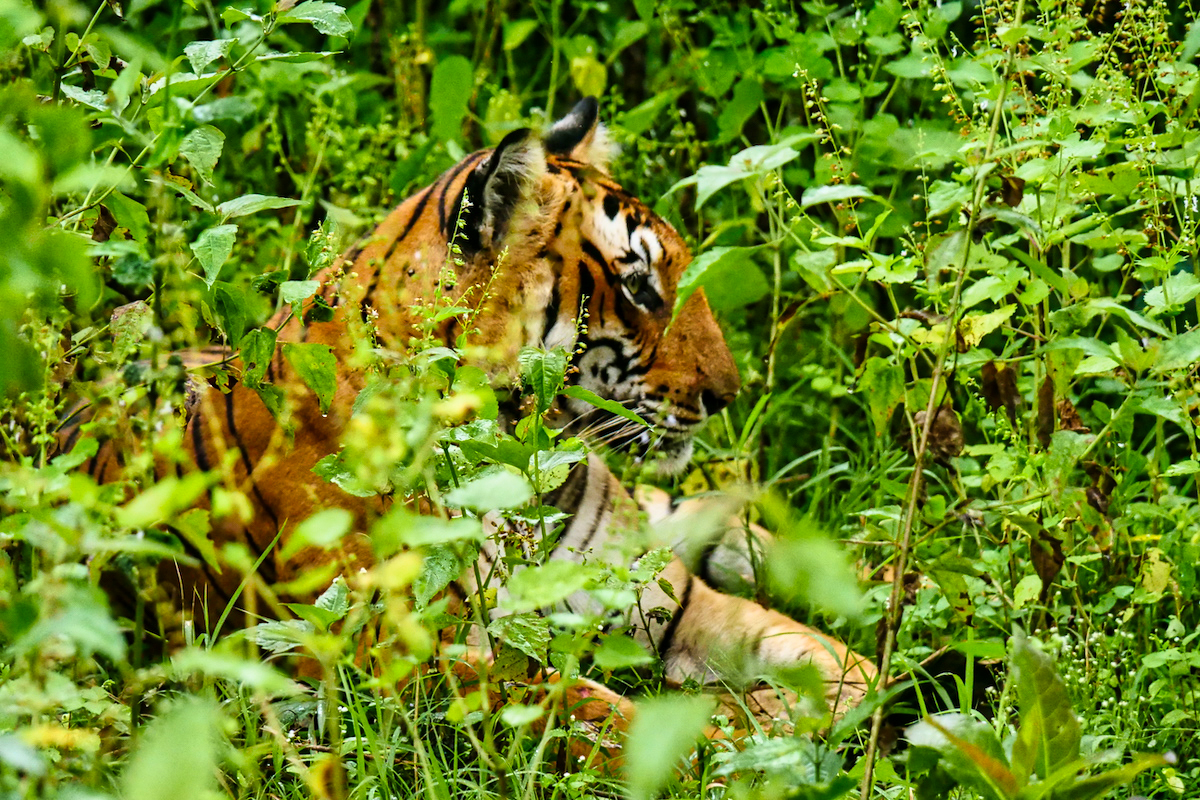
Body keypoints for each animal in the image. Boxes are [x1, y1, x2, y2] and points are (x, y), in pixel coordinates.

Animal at [62, 97, 876, 747]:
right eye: (639, 285)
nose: (727, 394)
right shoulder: (406, 651)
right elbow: (604, 714)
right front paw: (746, 736)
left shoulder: (665, 600)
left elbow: (822, 655)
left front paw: (849, 700)